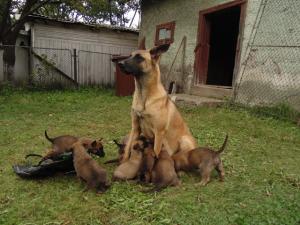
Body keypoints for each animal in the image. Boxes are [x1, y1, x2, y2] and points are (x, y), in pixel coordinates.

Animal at [114, 43, 197, 178]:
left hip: (185, 141)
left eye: (139, 58)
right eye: (130, 55)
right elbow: (128, 149)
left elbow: (156, 151)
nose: (120, 63)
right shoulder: (135, 128)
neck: (144, 95)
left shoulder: (159, 132)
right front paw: (124, 162)